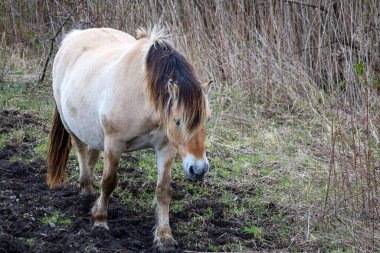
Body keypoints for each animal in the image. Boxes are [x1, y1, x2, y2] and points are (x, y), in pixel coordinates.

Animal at [46, 28, 211, 251]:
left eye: (207, 119)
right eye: (177, 121)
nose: (199, 169)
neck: (144, 98)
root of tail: (75, 35)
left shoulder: (166, 148)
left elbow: (163, 191)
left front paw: (164, 236)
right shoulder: (114, 144)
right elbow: (109, 182)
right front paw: (100, 221)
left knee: (92, 153)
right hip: (70, 124)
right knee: (81, 151)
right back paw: (87, 191)